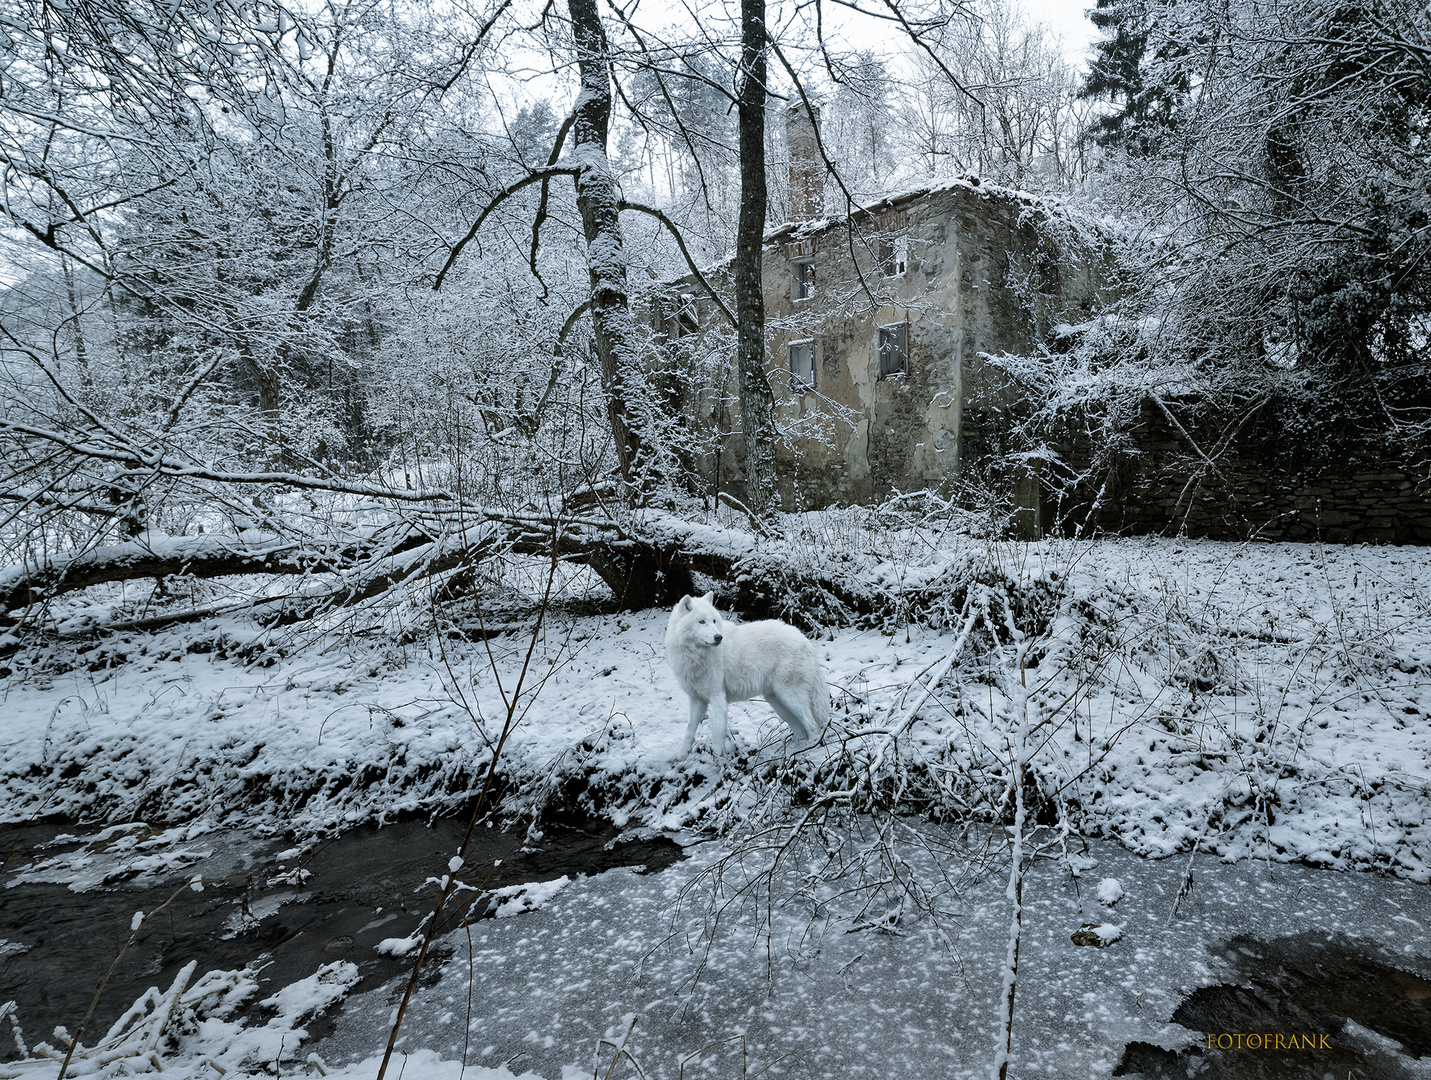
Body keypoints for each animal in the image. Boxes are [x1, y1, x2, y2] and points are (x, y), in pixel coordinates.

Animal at [661, 592, 829, 761]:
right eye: (701, 621)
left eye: (714, 621)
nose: (718, 637)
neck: (694, 655)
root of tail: (805, 640)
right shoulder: (697, 699)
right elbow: (689, 731)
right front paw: (681, 756)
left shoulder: (717, 697)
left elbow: (717, 734)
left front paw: (719, 760)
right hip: (778, 702)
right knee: (800, 730)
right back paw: (789, 754)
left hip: (790, 698)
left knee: (813, 726)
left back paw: (809, 750)